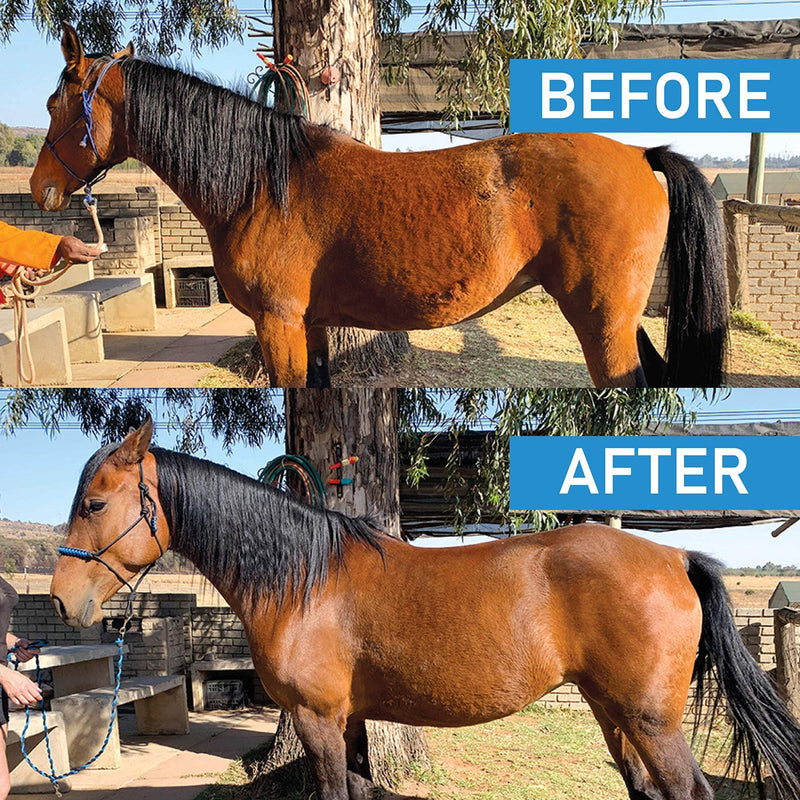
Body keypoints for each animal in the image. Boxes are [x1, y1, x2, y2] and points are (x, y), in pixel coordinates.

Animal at [30, 23, 728, 389]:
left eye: (55, 104)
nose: (41, 191)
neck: (264, 184)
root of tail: (641, 155)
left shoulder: (279, 325)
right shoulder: (307, 328)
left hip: (604, 326)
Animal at [50, 419, 800, 800]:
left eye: (95, 503)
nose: (62, 600)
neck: (304, 582)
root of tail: (673, 558)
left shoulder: (318, 720)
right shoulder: (348, 721)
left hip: (649, 720)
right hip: (614, 713)